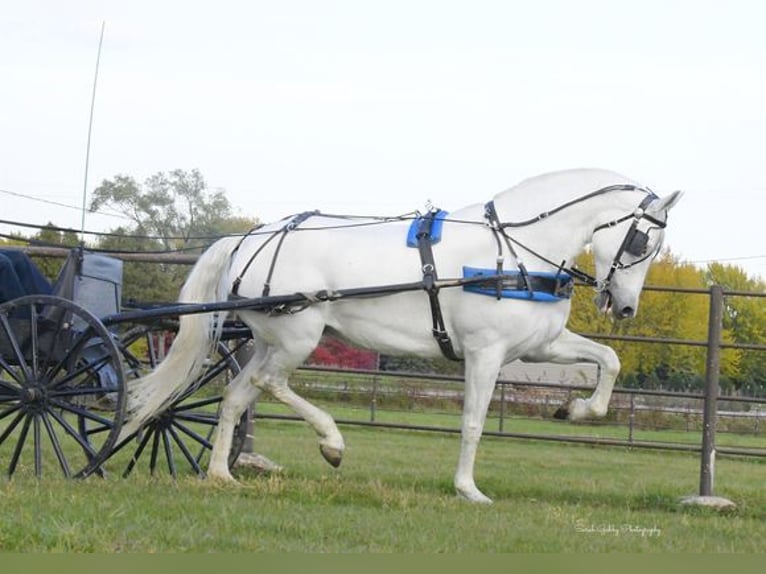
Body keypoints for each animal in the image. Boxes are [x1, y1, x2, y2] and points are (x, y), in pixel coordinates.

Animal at [120, 168, 684, 504]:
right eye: (642, 240)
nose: (624, 306)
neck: (514, 250)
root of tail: (251, 235)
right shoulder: (486, 353)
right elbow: (474, 423)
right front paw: (468, 490)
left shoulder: (540, 346)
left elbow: (608, 360)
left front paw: (576, 410)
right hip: (299, 336)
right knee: (272, 385)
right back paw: (332, 443)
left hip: (270, 339)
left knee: (238, 395)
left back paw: (221, 473)